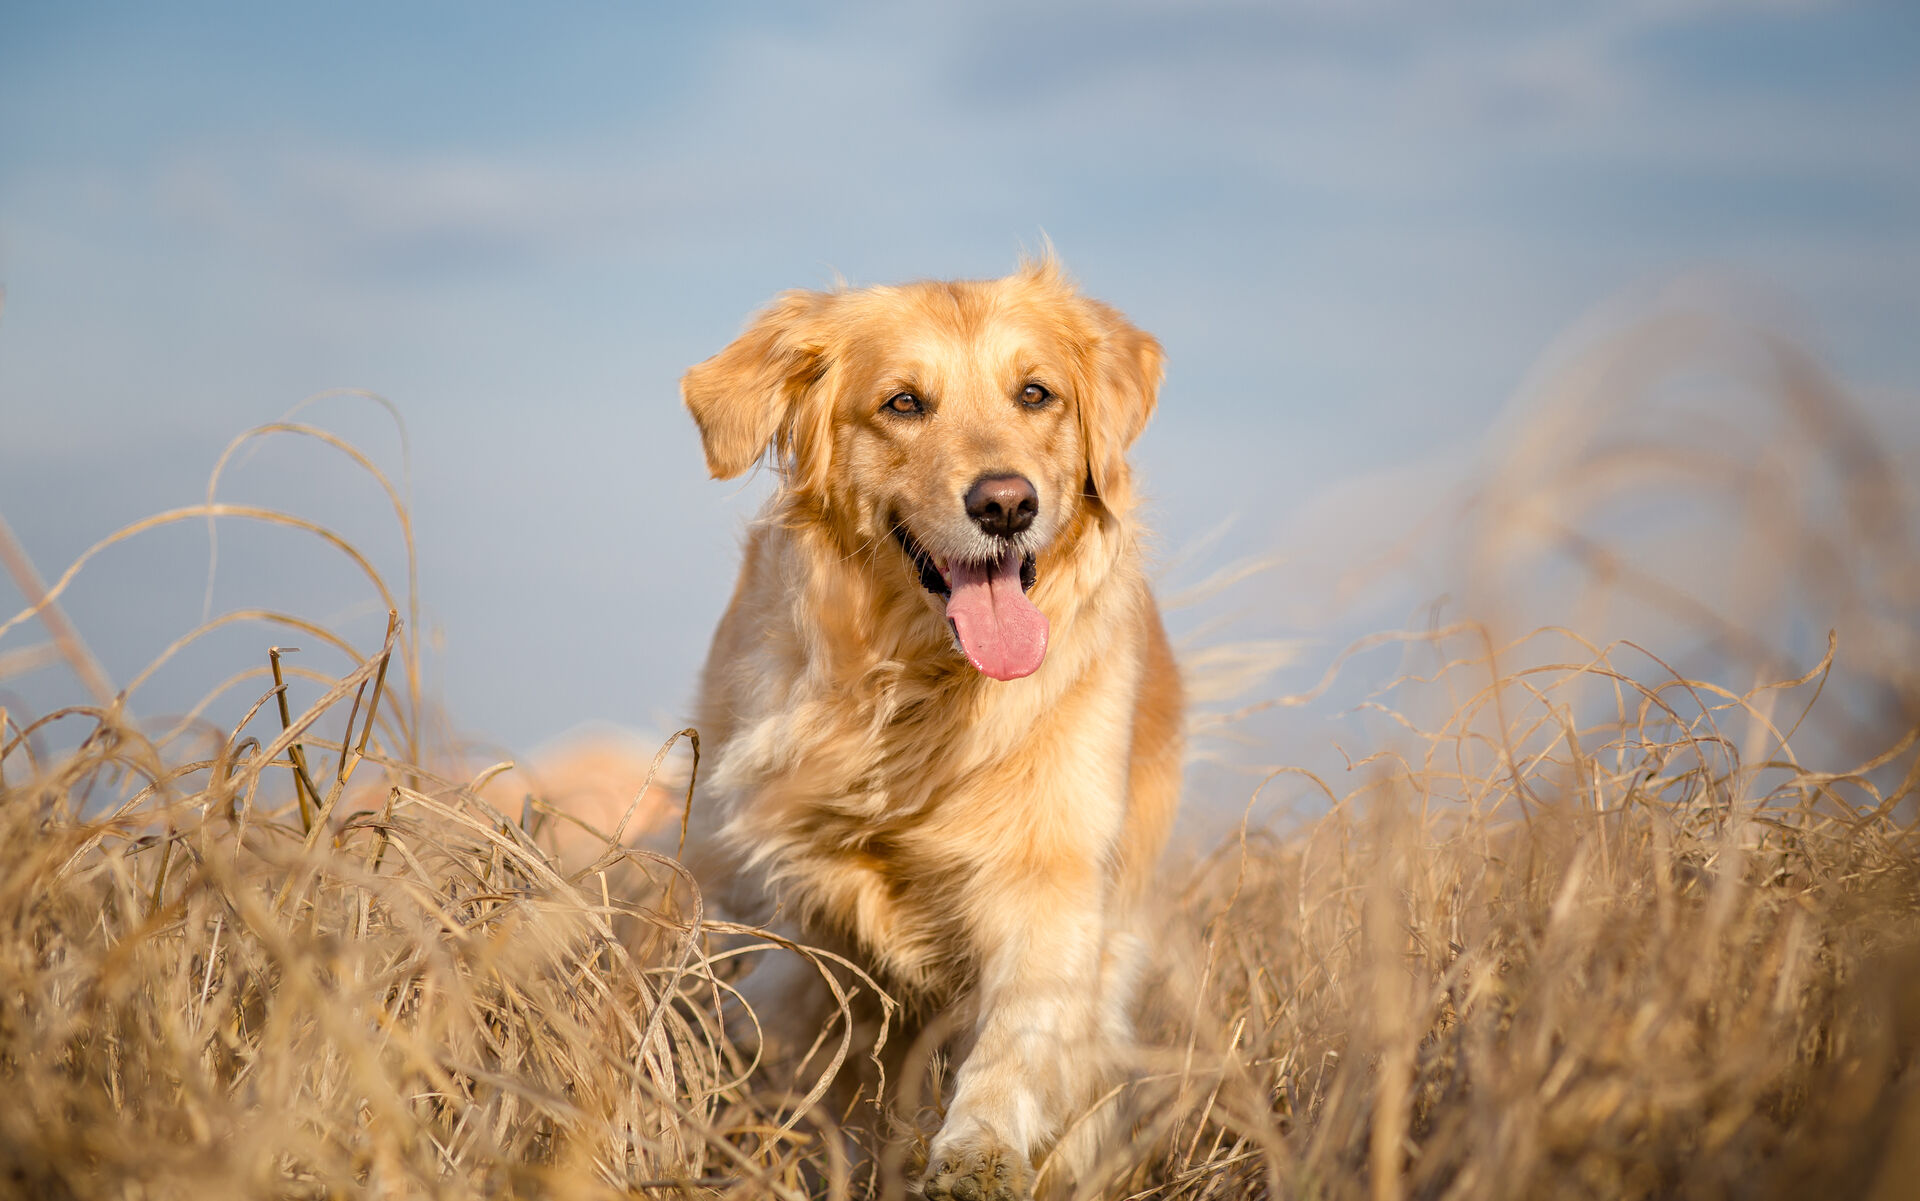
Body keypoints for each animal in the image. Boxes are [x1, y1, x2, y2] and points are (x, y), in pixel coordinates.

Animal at [675, 257, 1182, 1189]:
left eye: (1036, 393)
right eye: (903, 402)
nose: (1006, 504)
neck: (924, 686)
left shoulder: (1053, 869)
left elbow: (1021, 1029)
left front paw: (979, 1147)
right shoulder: (802, 894)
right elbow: (817, 1033)